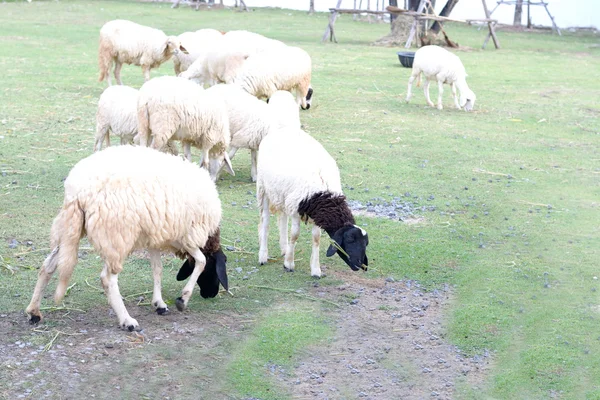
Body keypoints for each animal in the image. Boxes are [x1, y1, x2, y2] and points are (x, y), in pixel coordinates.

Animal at [25, 146, 230, 332]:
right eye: (215, 271)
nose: (210, 295)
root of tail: (79, 191)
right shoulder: (184, 235)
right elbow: (201, 261)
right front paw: (183, 299)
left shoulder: (156, 234)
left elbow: (157, 269)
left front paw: (159, 304)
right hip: (117, 235)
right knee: (107, 278)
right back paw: (127, 321)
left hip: (70, 226)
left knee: (48, 266)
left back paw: (34, 312)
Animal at [255, 128, 368, 278]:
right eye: (350, 239)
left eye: (366, 243)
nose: (361, 264)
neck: (323, 195)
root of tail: (280, 130)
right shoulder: (296, 209)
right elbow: (295, 235)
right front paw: (289, 264)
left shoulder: (317, 214)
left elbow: (316, 238)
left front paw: (315, 269)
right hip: (263, 189)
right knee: (265, 222)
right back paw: (263, 255)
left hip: (283, 195)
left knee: (282, 219)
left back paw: (284, 248)